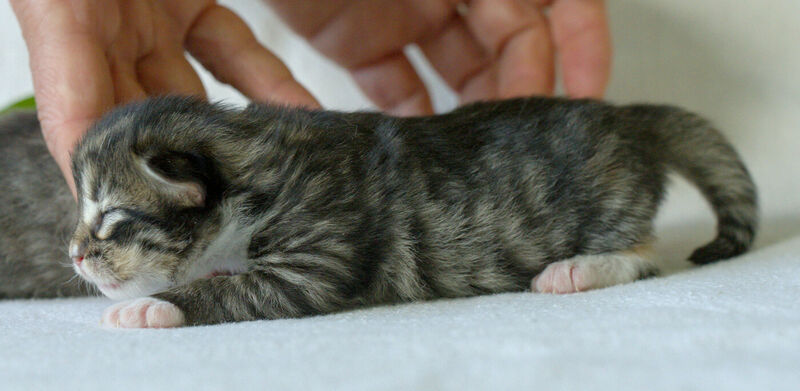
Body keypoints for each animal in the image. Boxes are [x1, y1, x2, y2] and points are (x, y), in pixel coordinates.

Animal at [1, 97, 756, 328]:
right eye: (80, 218)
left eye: (112, 220)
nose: (74, 254)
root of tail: (625, 116)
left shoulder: (318, 253)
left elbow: (235, 289)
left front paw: (150, 306)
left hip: (612, 201)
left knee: (644, 256)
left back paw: (574, 270)